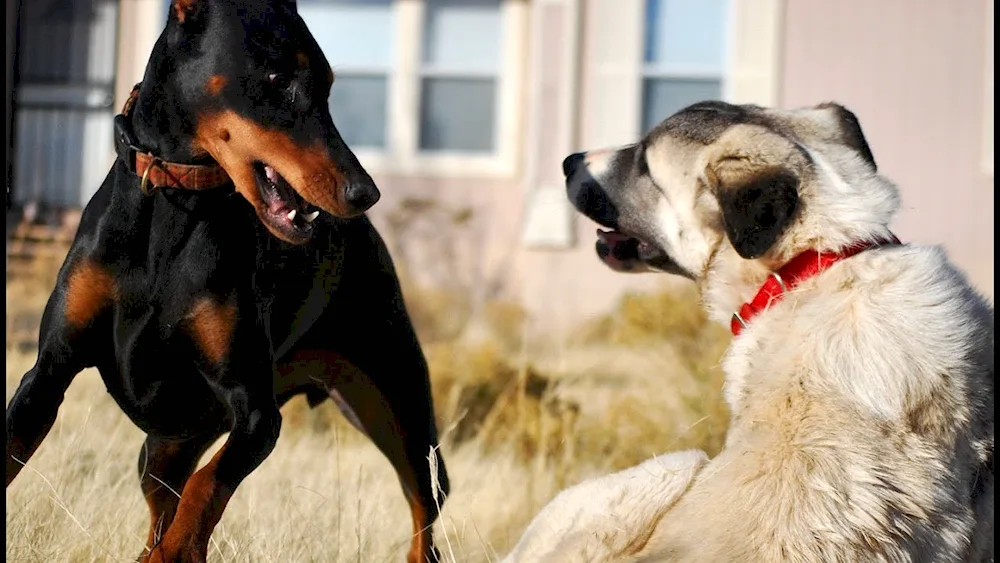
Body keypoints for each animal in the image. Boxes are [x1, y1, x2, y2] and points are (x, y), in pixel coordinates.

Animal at [3, 2, 450, 560]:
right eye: (278, 78)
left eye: (328, 84)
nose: (364, 192)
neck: (172, 202)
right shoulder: (48, 373)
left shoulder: (256, 413)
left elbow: (208, 486)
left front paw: (179, 550)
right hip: (168, 444)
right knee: (160, 495)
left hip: (402, 415)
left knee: (424, 508)